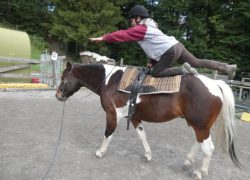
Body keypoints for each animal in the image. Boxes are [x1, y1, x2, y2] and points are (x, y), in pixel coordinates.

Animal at [56, 62, 240, 180]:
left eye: (64, 78)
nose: (58, 95)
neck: (110, 81)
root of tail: (216, 83)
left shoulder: (112, 115)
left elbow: (108, 133)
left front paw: (100, 152)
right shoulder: (135, 117)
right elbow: (142, 136)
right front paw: (148, 155)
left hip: (200, 126)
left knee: (208, 148)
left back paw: (199, 172)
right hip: (199, 126)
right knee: (199, 142)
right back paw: (187, 162)